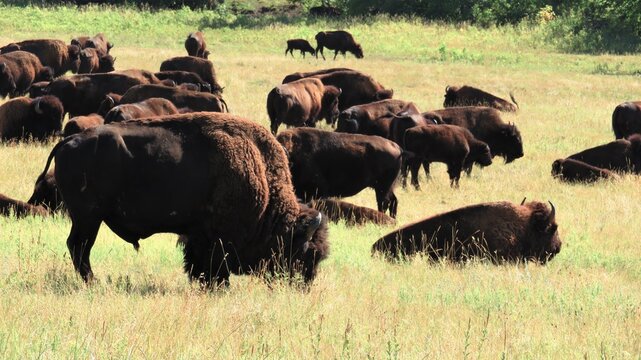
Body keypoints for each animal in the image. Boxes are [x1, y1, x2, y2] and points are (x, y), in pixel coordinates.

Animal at [35, 112, 328, 286]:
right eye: (306, 252)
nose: (304, 285)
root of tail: (69, 140)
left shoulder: (197, 234)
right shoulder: (215, 238)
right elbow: (213, 264)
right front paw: (216, 286)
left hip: (86, 218)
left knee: (77, 247)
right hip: (88, 218)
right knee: (79, 247)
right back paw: (93, 282)